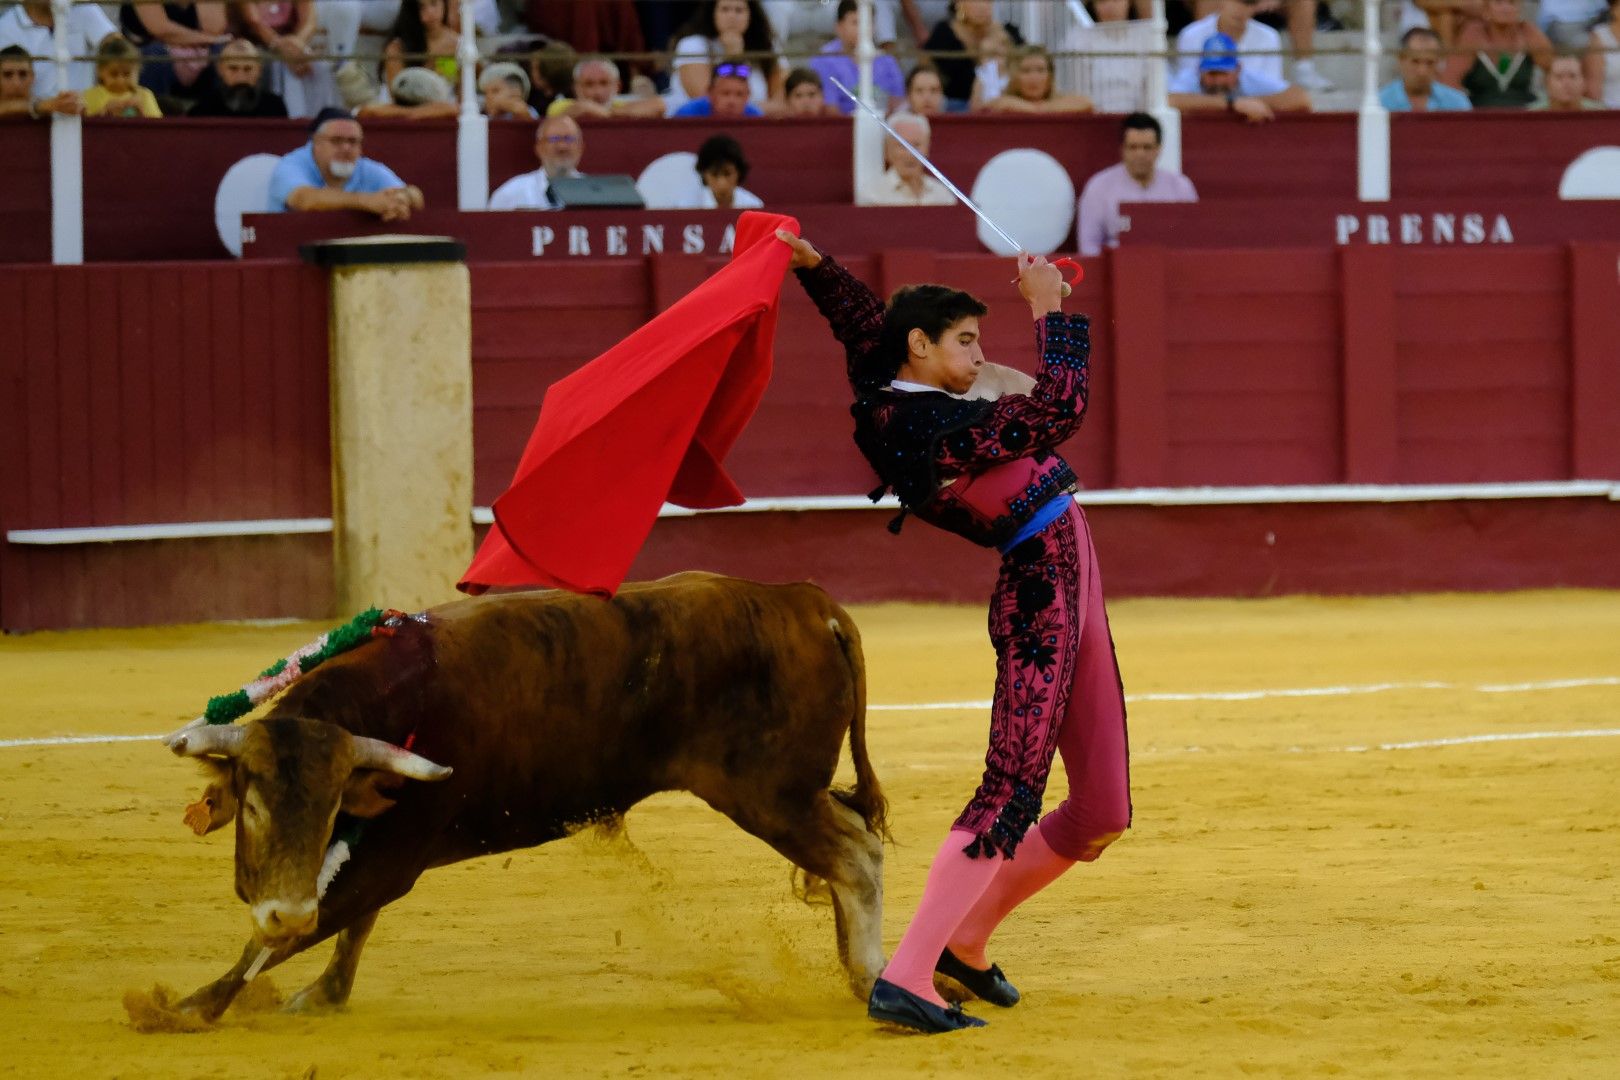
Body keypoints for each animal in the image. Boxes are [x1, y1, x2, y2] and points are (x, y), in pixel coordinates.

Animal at [164, 573, 887, 1023]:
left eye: (326, 810)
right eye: (253, 806)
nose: (281, 909)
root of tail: (806, 602)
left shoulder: (394, 856)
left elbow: (314, 925)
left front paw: (183, 1008)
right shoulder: (378, 846)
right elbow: (347, 921)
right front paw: (323, 994)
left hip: (770, 796)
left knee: (855, 857)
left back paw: (872, 975)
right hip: (792, 794)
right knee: (852, 843)